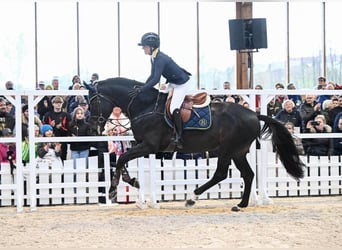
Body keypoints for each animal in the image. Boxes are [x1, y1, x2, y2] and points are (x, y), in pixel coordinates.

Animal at [85, 77, 304, 210]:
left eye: (93, 101)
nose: (92, 125)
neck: (144, 106)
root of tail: (253, 114)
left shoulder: (149, 146)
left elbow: (122, 158)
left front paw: (114, 189)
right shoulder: (141, 146)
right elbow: (121, 161)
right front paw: (132, 181)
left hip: (228, 149)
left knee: (221, 173)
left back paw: (193, 196)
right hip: (238, 152)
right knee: (248, 174)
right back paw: (241, 204)